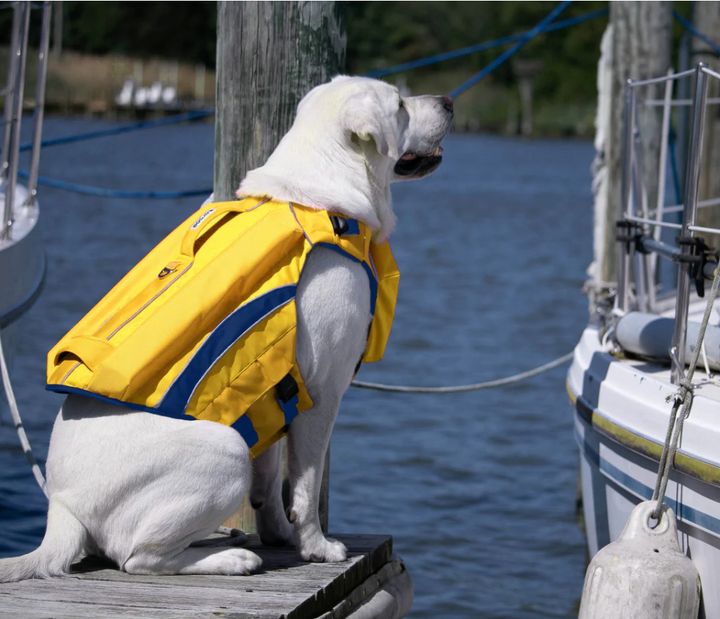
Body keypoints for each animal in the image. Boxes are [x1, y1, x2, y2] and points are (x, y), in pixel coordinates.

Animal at [0, 76, 450, 580]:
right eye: (399, 105)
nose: (448, 101)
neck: (321, 195)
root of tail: (61, 508)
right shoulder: (322, 393)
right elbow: (306, 485)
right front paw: (316, 547)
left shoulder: (276, 392)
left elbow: (271, 480)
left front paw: (280, 534)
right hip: (227, 449)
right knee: (139, 559)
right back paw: (233, 558)